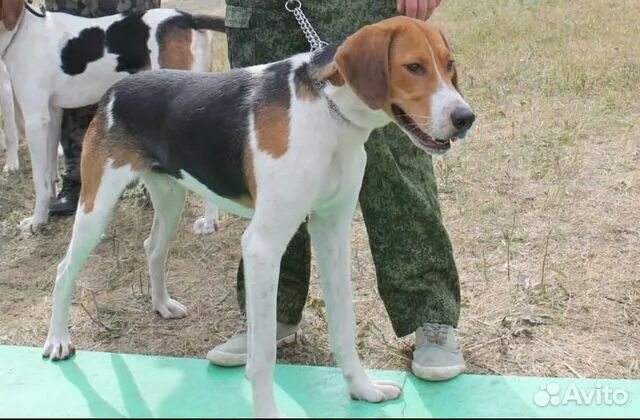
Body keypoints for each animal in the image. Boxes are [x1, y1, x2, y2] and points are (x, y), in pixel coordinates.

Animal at [0, 0, 222, 231]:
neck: (22, 30)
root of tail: (186, 17)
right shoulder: (51, 116)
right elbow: (49, 171)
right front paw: (49, 209)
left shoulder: (35, 119)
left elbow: (38, 179)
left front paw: (36, 220)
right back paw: (210, 219)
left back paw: (207, 222)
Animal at [42, 15, 476, 416]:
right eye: (413, 67)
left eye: (449, 64)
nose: (465, 118)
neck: (327, 112)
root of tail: (117, 91)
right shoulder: (262, 247)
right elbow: (264, 354)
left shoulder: (332, 232)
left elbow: (344, 325)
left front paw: (362, 389)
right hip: (96, 209)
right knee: (63, 269)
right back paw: (58, 341)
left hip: (170, 199)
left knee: (152, 248)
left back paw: (162, 305)